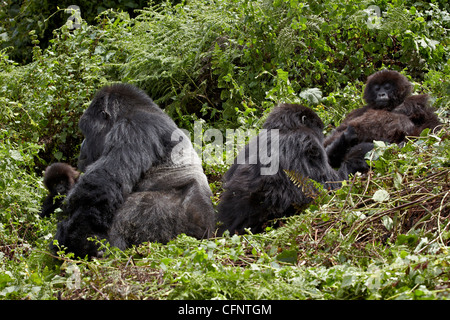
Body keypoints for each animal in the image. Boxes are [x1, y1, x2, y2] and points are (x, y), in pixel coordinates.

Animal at [216, 103, 370, 235]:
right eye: (319, 129)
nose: (322, 135)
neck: (283, 128)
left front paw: (345, 139)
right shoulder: (307, 141)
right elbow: (331, 186)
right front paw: (359, 154)